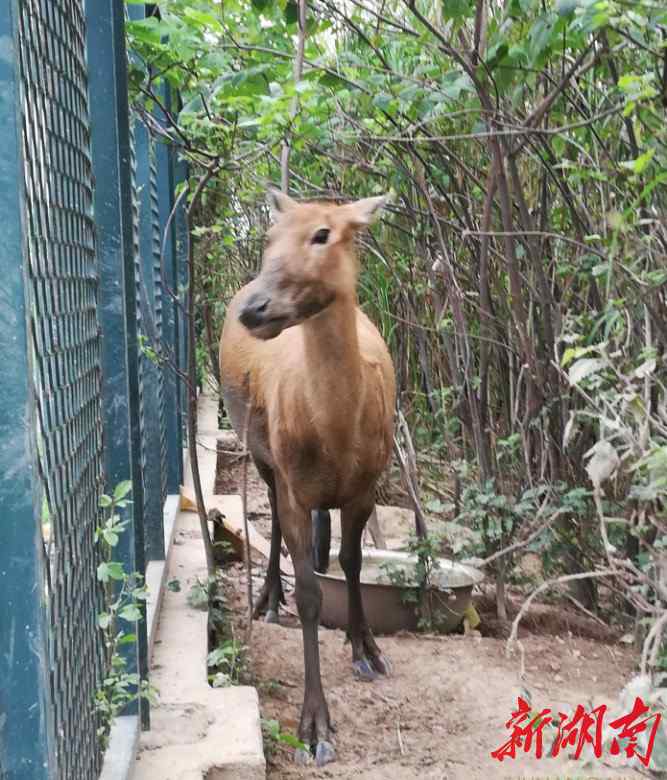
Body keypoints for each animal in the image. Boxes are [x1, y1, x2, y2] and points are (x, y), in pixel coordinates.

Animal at [219, 190, 396, 768]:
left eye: (324, 233)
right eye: (270, 236)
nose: (254, 309)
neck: (338, 433)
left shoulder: (367, 484)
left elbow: (353, 561)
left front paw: (367, 649)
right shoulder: (294, 480)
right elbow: (313, 596)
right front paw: (316, 727)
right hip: (260, 452)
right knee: (272, 517)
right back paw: (268, 599)